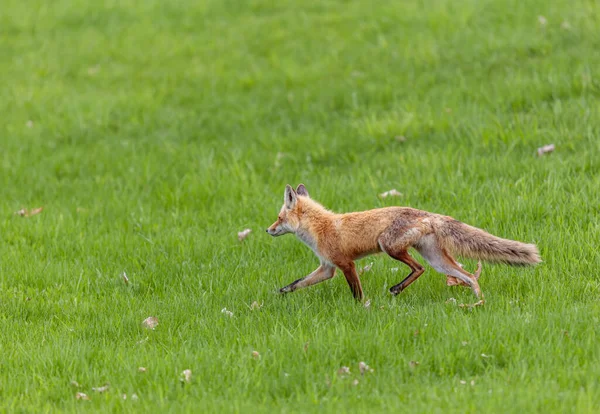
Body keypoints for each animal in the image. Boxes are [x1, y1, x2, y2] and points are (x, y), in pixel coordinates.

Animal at [264, 184, 540, 304]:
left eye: (278, 218)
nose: (267, 230)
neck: (321, 227)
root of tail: (428, 214)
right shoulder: (327, 268)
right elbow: (297, 283)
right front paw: (280, 294)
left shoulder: (346, 264)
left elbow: (357, 293)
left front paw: (360, 308)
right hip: (437, 260)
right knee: (469, 276)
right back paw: (478, 302)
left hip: (389, 246)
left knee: (419, 269)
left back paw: (396, 289)